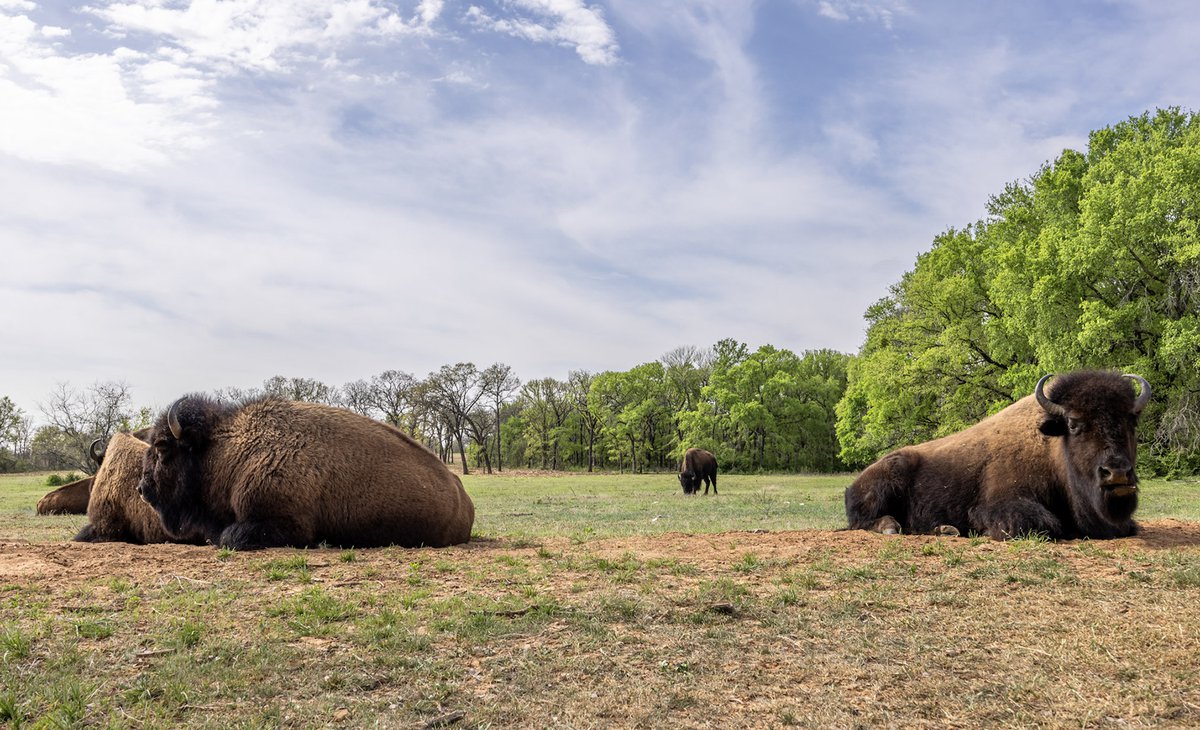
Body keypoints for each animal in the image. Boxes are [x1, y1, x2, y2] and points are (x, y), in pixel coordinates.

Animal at [844, 370, 1151, 540]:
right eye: (1074, 424)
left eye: (1132, 420)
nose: (1117, 472)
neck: (1050, 447)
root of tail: (853, 485)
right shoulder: (999, 505)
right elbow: (1042, 524)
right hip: (888, 480)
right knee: (863, 521)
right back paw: (891, 527)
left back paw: (946, 530)